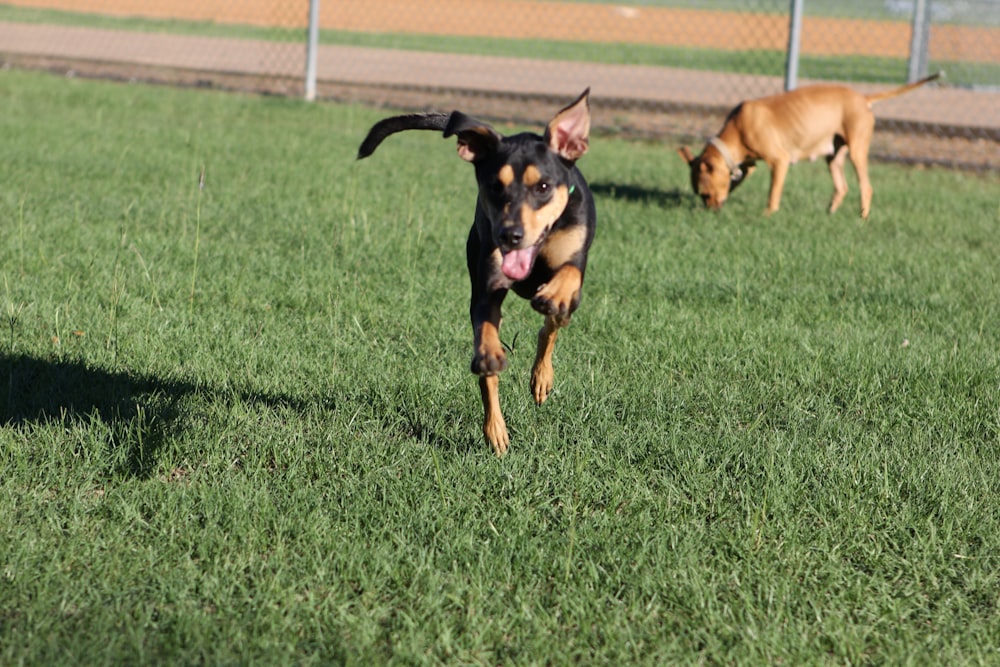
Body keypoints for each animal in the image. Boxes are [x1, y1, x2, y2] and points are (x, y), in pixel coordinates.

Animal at [358, 90, 592, 454]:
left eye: (543, 186)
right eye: (495, 186)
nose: (510, 235)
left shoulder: (575, 256)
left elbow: (566, 280)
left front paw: (553, 296)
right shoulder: (487, 284)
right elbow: (485, 327)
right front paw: (489, 354)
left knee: (551, 327)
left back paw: (541, 376)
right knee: (491, 372)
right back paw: (495, 428)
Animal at [676, 73, 940, 219]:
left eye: (705, 194)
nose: (711, 211)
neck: (737, 128)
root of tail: (864, 98)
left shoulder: (779, 161)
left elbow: (773, 194)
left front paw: (767, 215)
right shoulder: (747, 165)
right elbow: (737, 179)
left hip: (857, 151)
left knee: (866, 187)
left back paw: (862, 218)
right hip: (834, 156)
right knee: (841, 187)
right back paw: (829, 214)